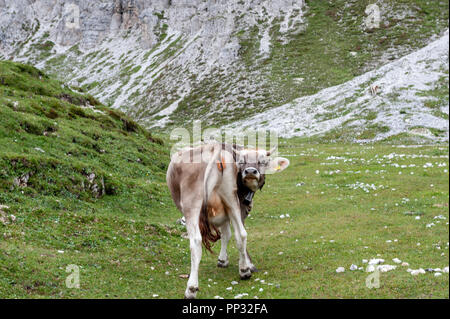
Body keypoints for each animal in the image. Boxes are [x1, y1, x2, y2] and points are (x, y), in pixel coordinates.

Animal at [167, 144, 290, 298]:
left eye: (263, 162)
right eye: (242, 161)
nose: (250, 171)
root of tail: (214, 149)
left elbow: (225, 234)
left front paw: (223, 260)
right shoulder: (234, 208)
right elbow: (228, 234)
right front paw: (232, 261)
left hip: (192, 203)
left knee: (195, 242)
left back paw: (191, 288)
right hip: (230, 198)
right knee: (241, 234)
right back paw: (244, 271)